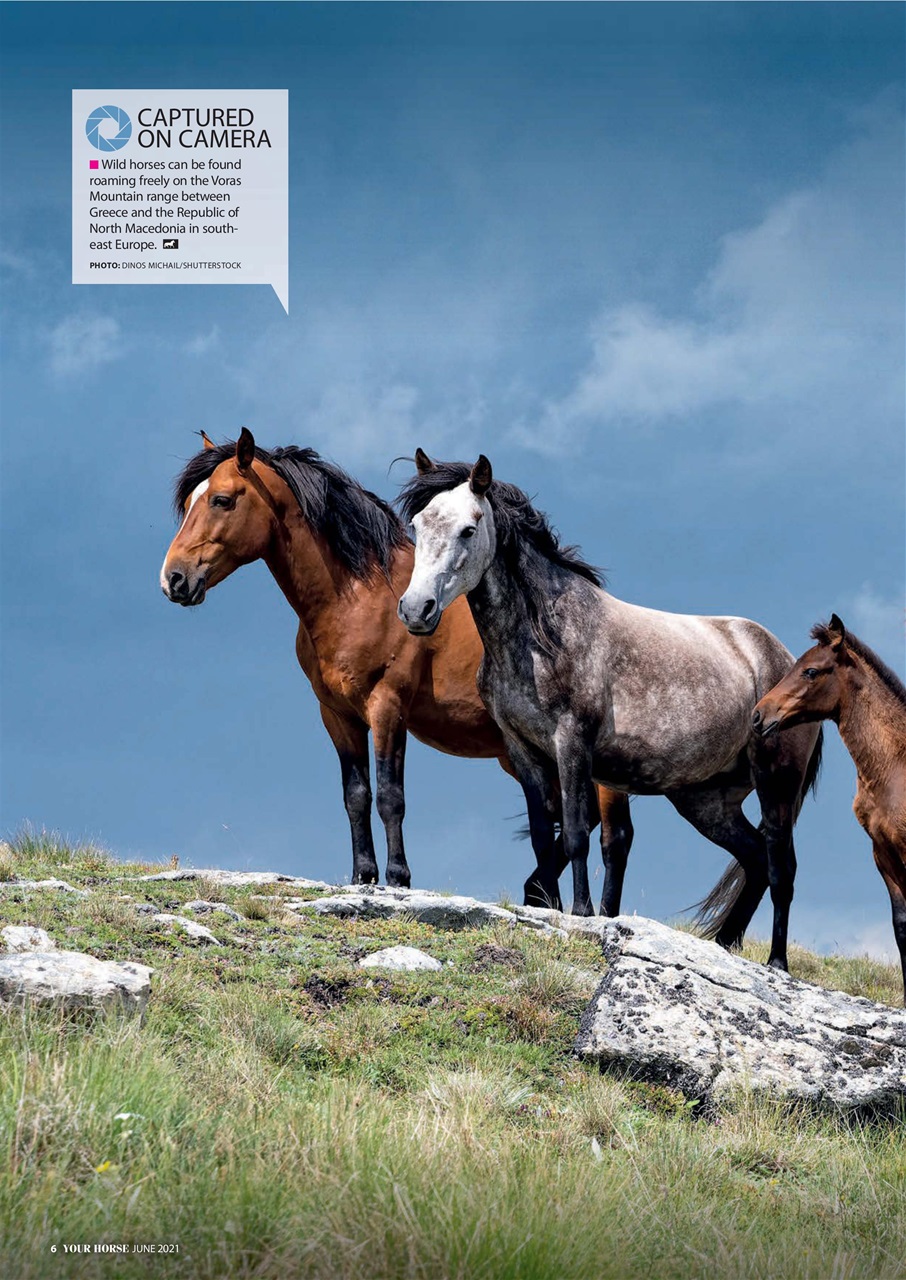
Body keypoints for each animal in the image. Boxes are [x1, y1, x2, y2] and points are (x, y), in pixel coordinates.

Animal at [160, 429, 630, 901]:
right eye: (190, 502)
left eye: (221, 500)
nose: (174, 579)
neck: (357, 597)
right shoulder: (337, 715)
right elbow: (356, 794)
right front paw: (362, 875)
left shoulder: (387, 707)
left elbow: (390, 795)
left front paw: (398, 876)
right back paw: (541, 892)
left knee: (614, 836)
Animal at [397, 452, 823, 972]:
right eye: (419, 524)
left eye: (469, 529)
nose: (416, 610)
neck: (542, 634)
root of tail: (785, 659)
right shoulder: (525, 751)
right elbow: (543, 837)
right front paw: (551, 909)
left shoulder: (571, 744)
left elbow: (577, 834)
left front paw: (581, 912)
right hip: (708, 802)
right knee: (757, 861)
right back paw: (725, 945)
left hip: (776, 784)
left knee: (782, 866)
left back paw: (777, 963)